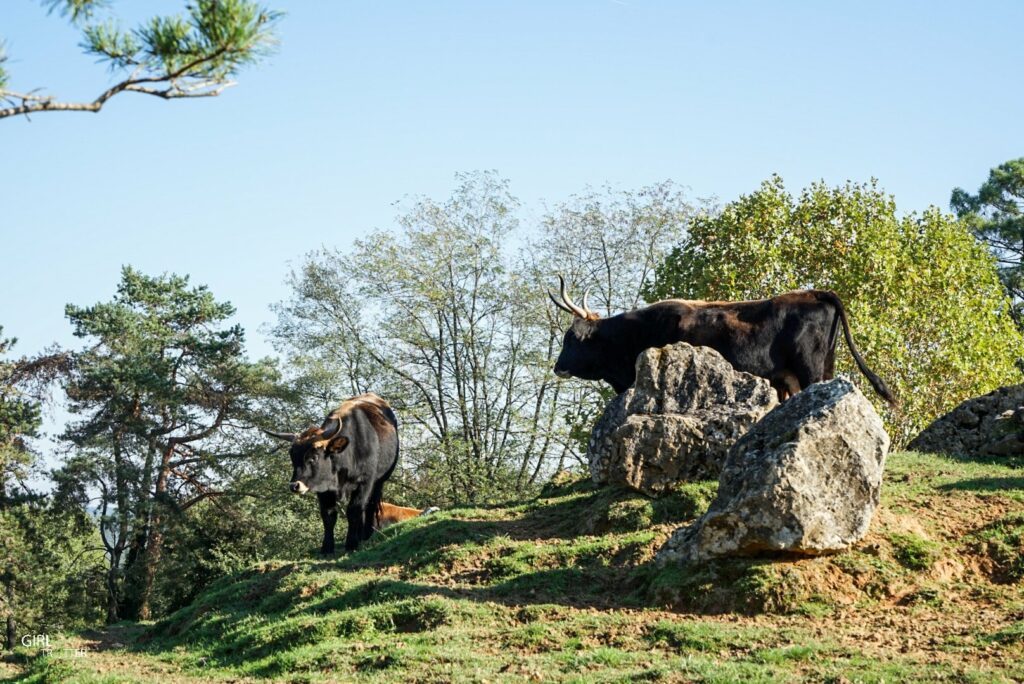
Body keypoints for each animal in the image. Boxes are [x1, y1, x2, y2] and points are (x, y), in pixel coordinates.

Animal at [266, 393, 397, 552]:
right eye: (292, 456)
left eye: (313, 457)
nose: (294, 485)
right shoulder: (323, 487)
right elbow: (328, 515)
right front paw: (327, 548)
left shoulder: (365, 482)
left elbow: (355, 510)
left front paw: (352, 544)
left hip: (380, 481)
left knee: (370, 505)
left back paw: (365, 535)